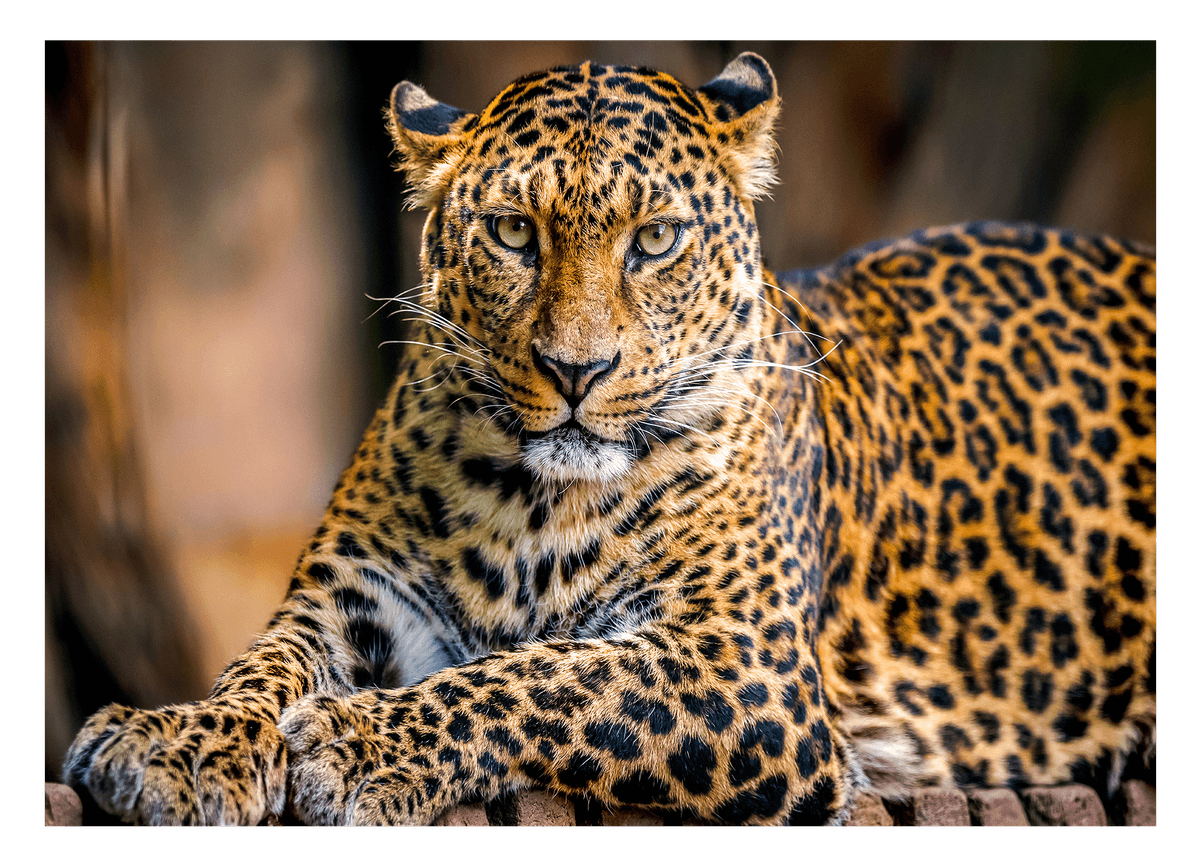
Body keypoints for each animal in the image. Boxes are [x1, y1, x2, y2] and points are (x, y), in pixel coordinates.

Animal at [63, 52, 1156, 827]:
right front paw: (179, 742)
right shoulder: (352, 599)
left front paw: (358, 744)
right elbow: (259, 667)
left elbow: (549, 677)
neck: (533, 502)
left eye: (656, 239)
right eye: (513, 231)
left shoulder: (744, 667)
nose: (575, 371)